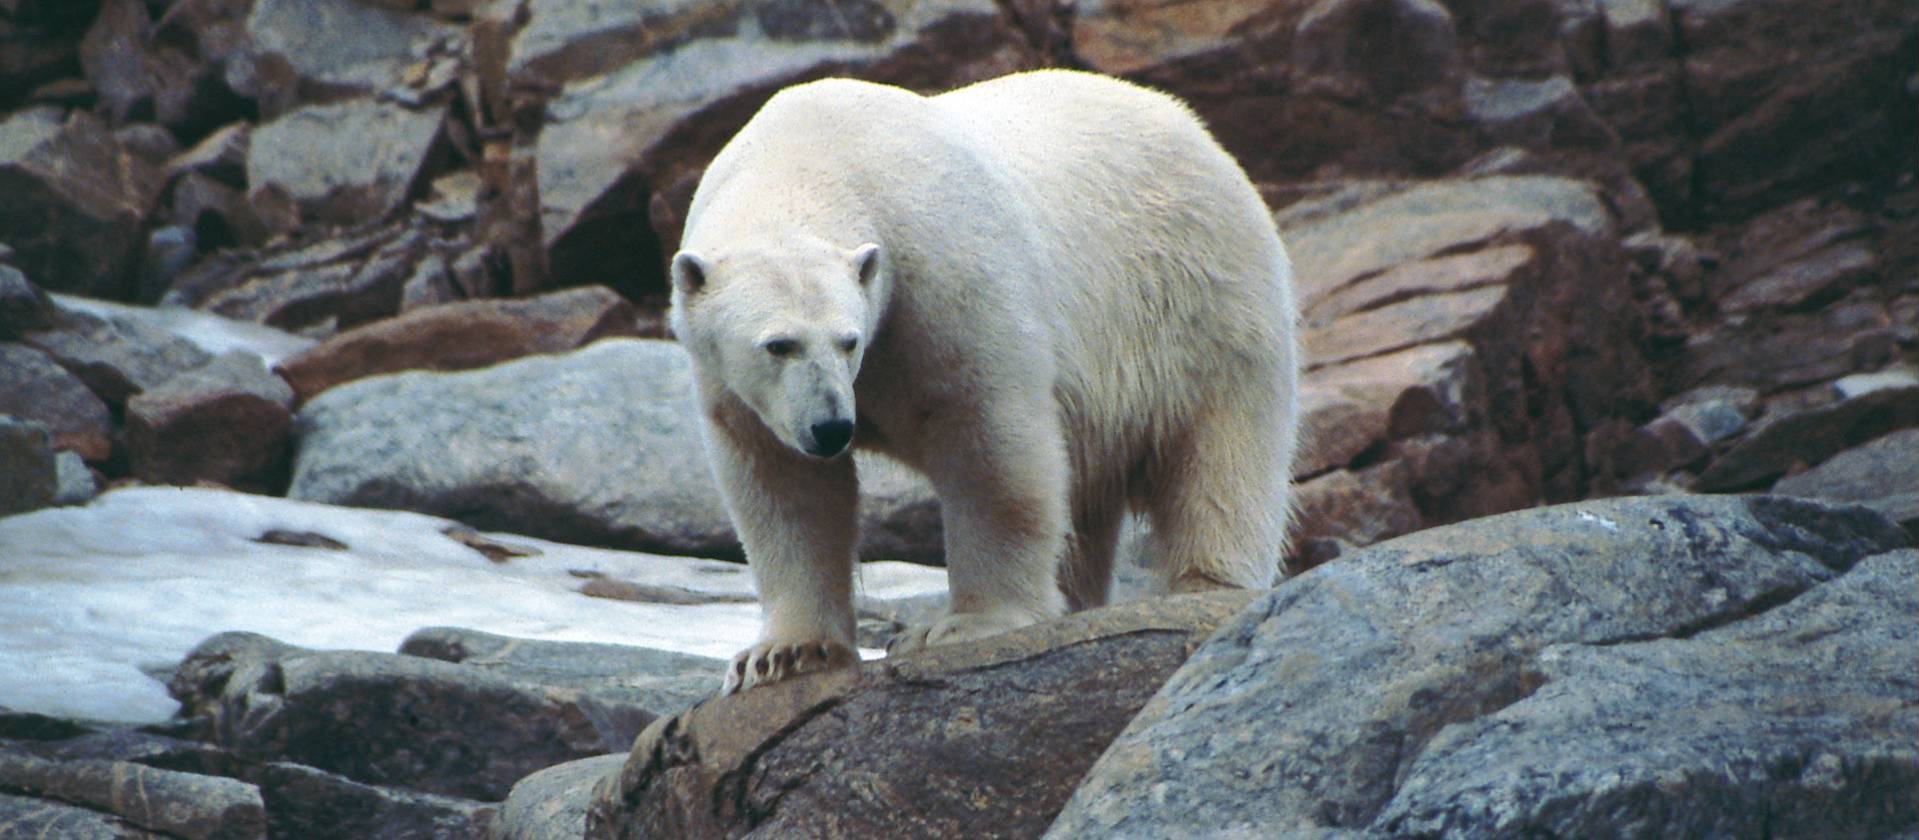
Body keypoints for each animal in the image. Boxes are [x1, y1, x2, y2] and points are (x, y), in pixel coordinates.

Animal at [668, 69, 1299, 694]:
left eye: (848, 340)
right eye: (778, 344)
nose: (832, 427)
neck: (811, 154)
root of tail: (1199, 132)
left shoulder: (943, 278)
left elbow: (991, 447)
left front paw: (967, 625)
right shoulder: (739, 387)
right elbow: (784, 487)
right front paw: (783, 654)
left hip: (1197, 298)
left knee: (1220, 451)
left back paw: (1204, 585)